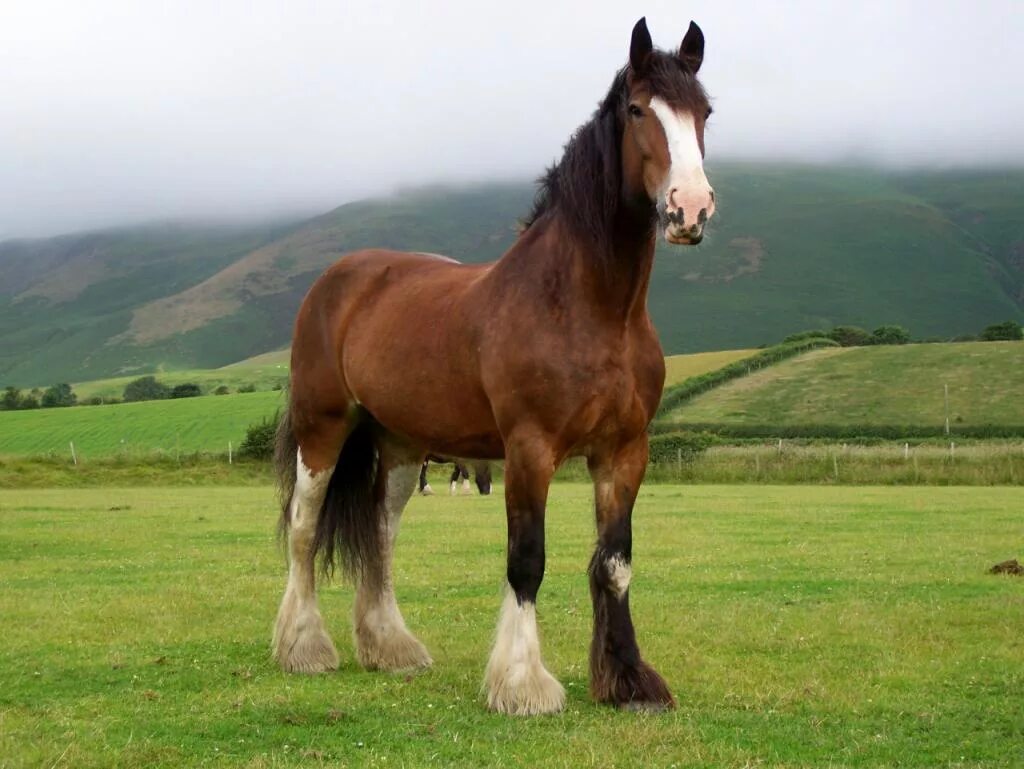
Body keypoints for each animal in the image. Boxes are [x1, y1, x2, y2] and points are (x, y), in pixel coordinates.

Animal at [274, 18, 720, 716]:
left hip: (400, 446)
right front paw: (522, 683)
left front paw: (628, 681)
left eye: (704, 112)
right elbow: (526, 560)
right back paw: (305, 649)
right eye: (638, 109)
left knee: (381, 534)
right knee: (303, 527)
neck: (590, 308)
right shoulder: (529, 449)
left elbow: (614, 563)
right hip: (322, 429)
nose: (690, 208)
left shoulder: (624, 451)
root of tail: (339, 279)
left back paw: (391, 647)